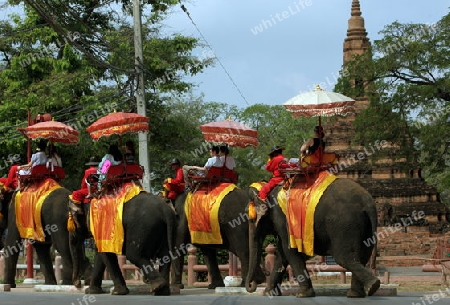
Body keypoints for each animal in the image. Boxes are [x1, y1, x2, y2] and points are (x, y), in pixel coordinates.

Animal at [246, 176, 380, 296]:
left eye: (251, 220)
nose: (252, 285)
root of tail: (368, 203)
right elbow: (282, 254)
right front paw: (268, 293)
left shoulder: (283, 219)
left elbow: (289, 250)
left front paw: (303, 294)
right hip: (365, 226)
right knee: (362, 256)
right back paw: (357, 293)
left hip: (344, 224)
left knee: (344, 257)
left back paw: (372, 286)